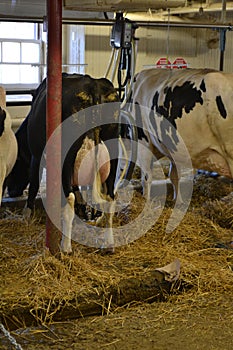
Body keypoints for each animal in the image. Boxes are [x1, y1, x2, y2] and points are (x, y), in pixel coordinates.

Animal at [6, 74, 120, 254]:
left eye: (14, 168)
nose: (12, 192)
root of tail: (93, 85)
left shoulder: (36, 156)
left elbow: (34, 185)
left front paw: (26, 214)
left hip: (67, 156)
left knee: (70, 199)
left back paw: (65, 246)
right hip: (113, 151)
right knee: (110, 197)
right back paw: (108, 244)